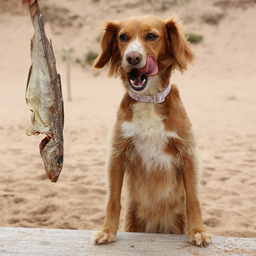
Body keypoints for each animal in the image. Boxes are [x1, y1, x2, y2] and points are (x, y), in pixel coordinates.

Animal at [92, 15, 212, 247]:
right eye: (123, 37)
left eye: (151, 36)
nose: (132, 57)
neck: (148, 99)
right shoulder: (117, 154)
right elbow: (113, 199)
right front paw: (107, 230)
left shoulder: (188, 154)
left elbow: (193, 199)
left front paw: (198, 231)